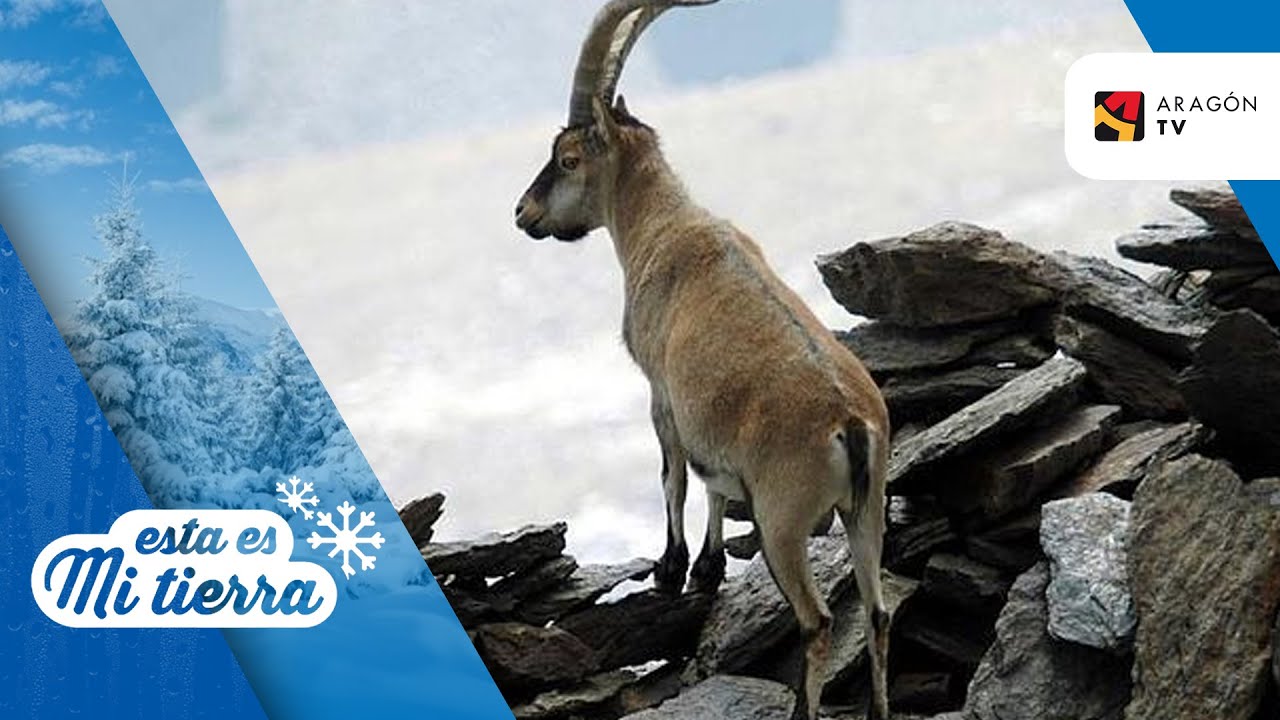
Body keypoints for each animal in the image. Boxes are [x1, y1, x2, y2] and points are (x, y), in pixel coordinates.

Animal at [514, 2, 892, 718]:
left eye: (568, 157)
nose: (524, 213)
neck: (660, 227)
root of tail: (851, 426)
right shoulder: (710, 416)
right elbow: (714, 480)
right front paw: (708, 568)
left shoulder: (660, 389)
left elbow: (674, 475)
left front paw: (670, 570)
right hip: (868, 509)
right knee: (878, 613)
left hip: (783, 521)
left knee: (820, 620)